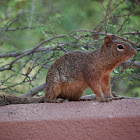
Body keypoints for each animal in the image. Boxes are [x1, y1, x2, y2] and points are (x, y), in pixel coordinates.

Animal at [0, 35, 136, 106]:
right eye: (120, 46)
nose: (135, 51)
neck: (101, 60)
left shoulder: (105, 77)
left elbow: (107, 88)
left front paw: (111, 97)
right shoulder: (91, 75)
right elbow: (97, 88)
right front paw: (102, 99)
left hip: (78, 90)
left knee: (72, 99)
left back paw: (82, 99)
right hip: (55, 86)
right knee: (48, 100)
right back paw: (56, 100)